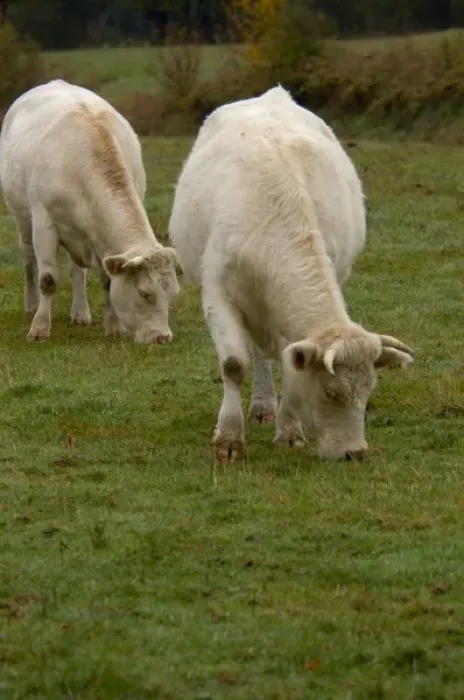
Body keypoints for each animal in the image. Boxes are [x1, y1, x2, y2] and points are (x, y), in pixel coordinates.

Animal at [0, 79, 181, 343]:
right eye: (144, 293)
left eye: (172, 295)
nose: (162, 337)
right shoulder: (44, 223)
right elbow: (48, 279)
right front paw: (40, 328)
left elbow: (106, 280)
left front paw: (113, 326)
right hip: (22, 217)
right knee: (28, 260)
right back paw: (32, 305)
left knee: (77, 271)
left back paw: (80, 312)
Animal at [168, 86, 413, 463]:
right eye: (330, 392)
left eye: (368, 391)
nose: (354, 453)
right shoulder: (218, 296)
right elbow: (234, 364)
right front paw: (228, 439)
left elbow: (288, 363)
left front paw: (289, 432)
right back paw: (262, 405)